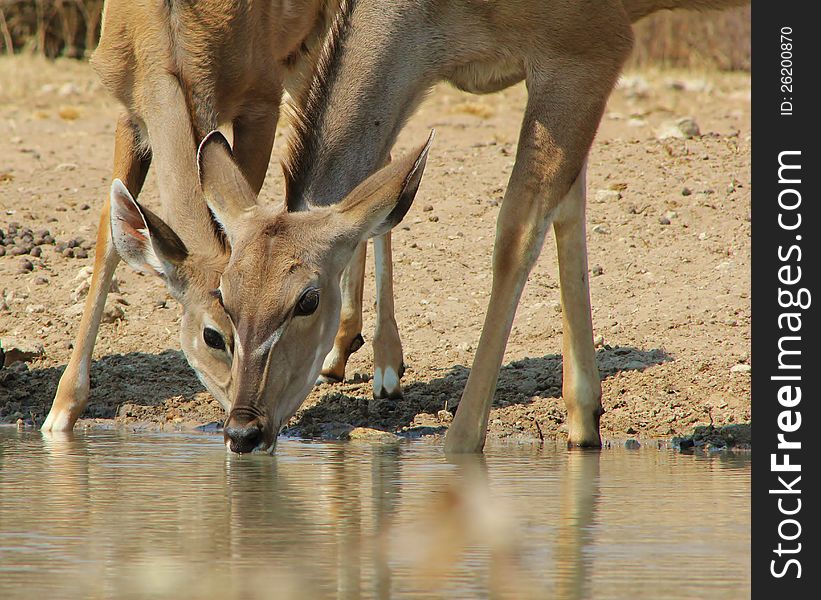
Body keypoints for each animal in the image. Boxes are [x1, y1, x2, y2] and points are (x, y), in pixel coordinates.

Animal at [37, 0, 340, 432]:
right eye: (214, 335)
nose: (248, 422)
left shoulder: (262, 102)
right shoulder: (131, 113)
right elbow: (108, 238)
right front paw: (60, 413)